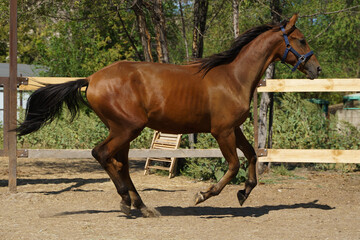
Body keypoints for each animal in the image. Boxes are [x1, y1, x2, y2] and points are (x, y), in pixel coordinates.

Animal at [16, 15, 320, 218]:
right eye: (301, 40)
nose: (316, 68)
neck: (233, 77)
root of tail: (91, 79)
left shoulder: (235, 129)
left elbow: (253, 155)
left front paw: (244, 193)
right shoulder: (221, 131)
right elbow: (234, 165)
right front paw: (203, 195)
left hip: (122, 130)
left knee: (120, 164)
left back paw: (140, 205)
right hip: (127, 128)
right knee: (101, 154)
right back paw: (126, 201)